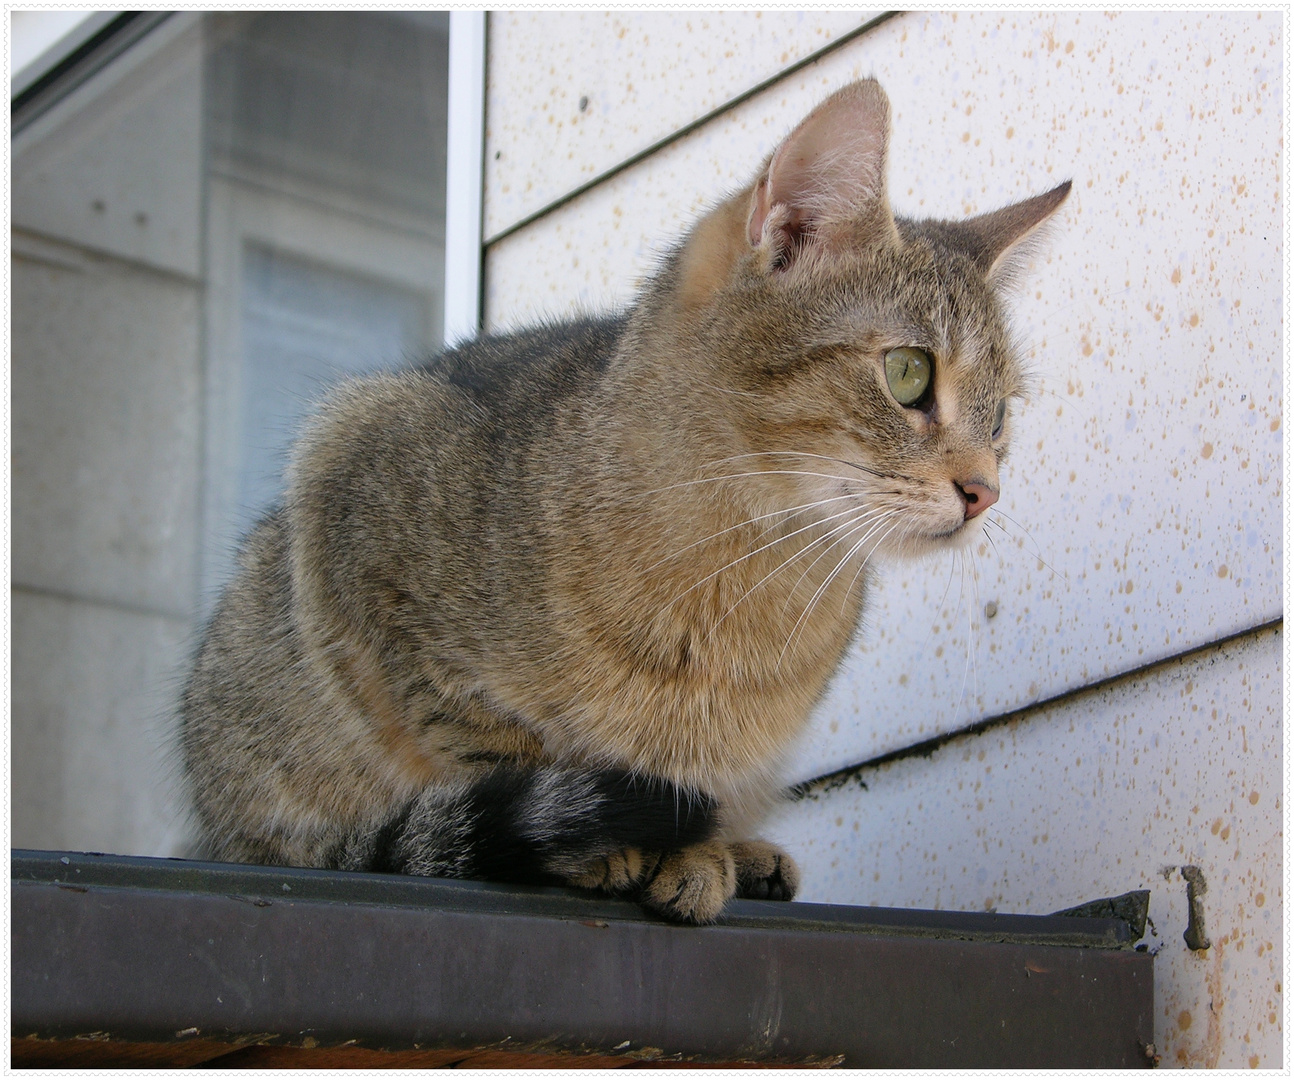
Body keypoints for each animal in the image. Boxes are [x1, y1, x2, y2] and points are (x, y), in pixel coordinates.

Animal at [185, 80, 1071, 926]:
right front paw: (612, 843)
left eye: (1001, 416)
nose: (985, 491)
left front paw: (704, 850)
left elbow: (709, 787)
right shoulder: (353, 499)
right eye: (909, 375)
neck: (742, 577)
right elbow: (489, 741)